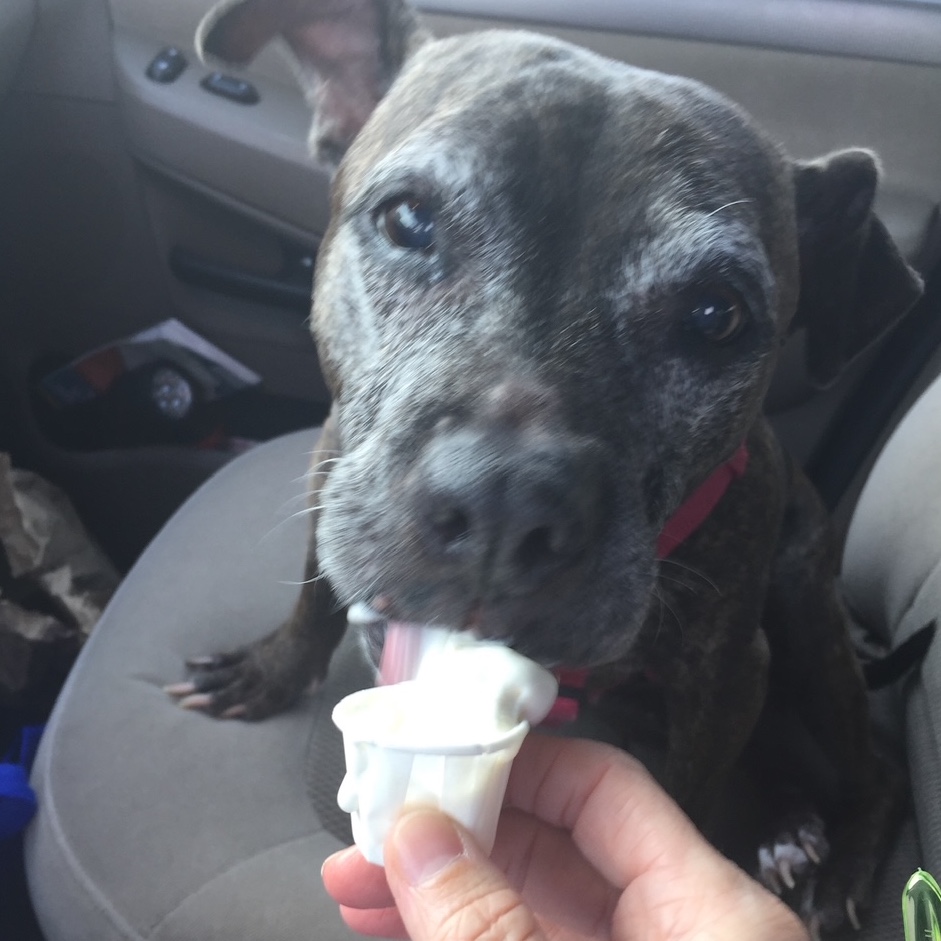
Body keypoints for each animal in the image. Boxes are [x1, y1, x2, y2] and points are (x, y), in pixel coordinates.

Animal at [165, 0, 920, 928]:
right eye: (407, 220)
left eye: (716, 314)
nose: (504, 502)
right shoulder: (330, 462)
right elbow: (313, 591)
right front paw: (268, 671)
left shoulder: (727, 672)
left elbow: (685, 800)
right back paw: (785, 820)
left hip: (806, 618)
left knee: (877, 765)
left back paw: (834, 858)